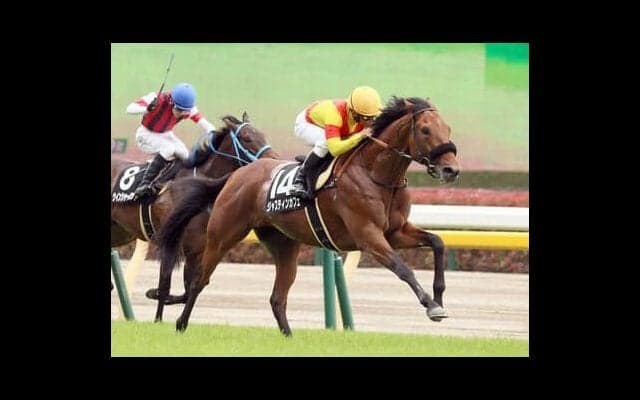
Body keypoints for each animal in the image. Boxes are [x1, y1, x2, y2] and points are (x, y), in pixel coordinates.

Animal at [111, 112, 279, 321]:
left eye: (262, 135)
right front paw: (157, 317)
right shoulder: (174, 243)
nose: (274, 159)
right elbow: (166, 284)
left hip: (119, 231)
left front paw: (154, 294)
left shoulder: (198, 249)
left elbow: (191, 287)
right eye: (247, 138)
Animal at [158, 96, 460, 335]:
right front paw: (432, 306)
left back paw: (289, 338)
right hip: (223, 234)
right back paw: (181, 324)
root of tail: (237, 174)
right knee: (199, 280)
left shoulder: (395, 232)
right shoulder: (368, 236)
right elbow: (403, 268)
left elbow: (437, 242)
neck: (376, 174)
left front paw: (439, 296)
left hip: (284, 245)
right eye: (425, 130)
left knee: (277, 298)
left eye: (447, 128)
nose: (451, 170)